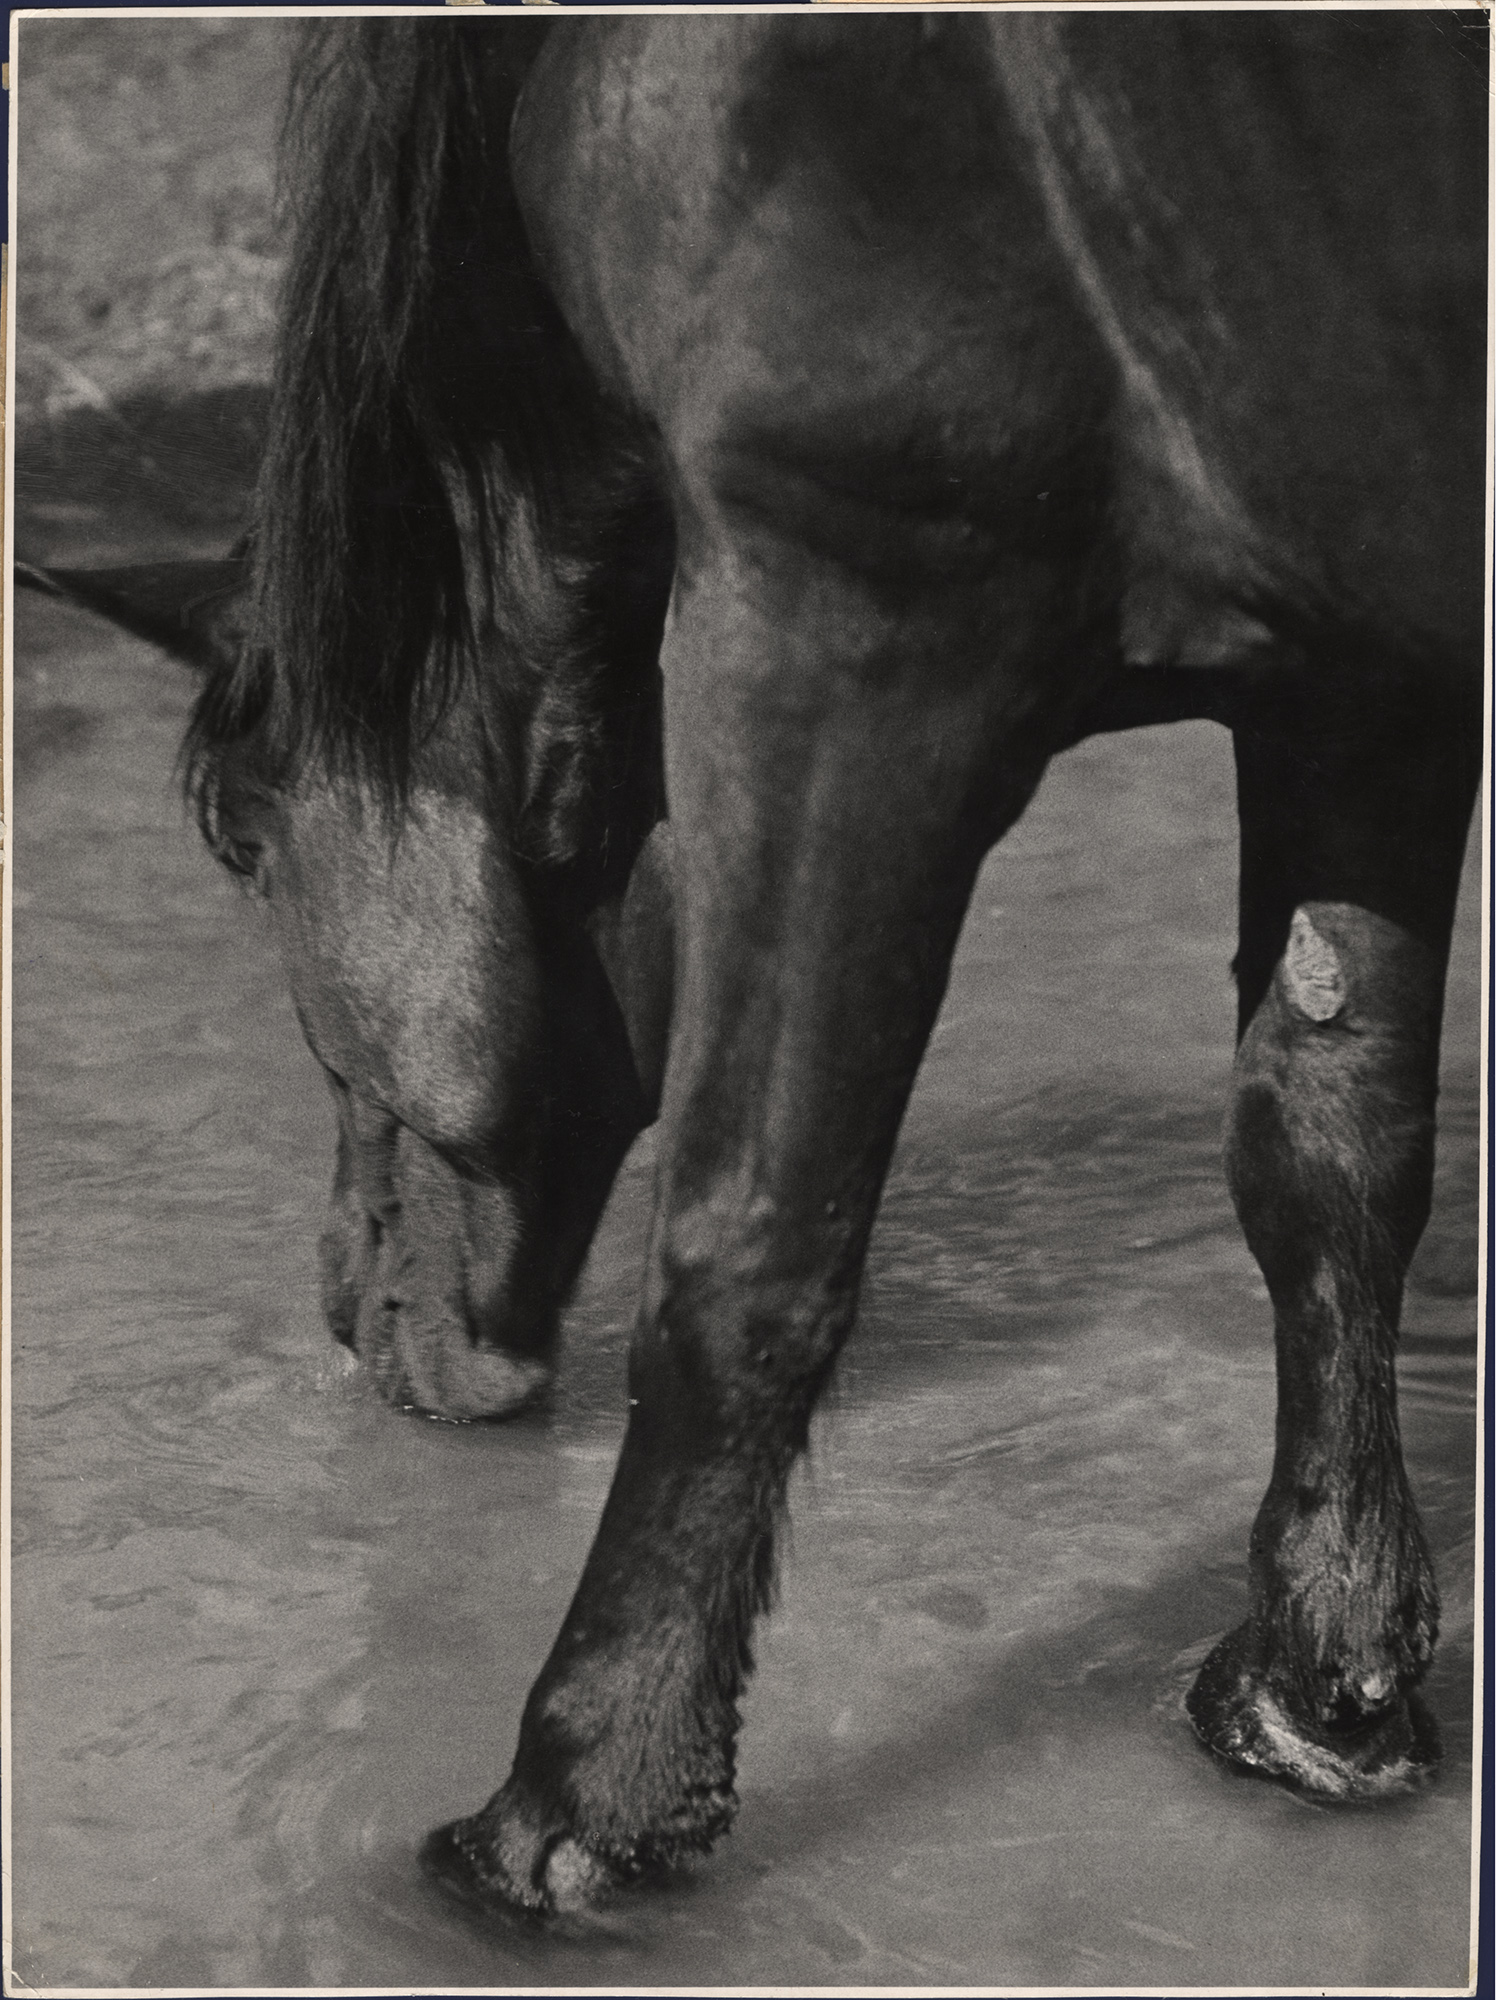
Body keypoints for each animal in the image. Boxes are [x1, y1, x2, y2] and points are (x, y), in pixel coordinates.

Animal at [114, 11, 1496, 1904]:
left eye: (249, 844)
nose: (348, 1308)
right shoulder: (1358, 682)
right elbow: (1330, 1158)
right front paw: (1321, 1688)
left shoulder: (845, 621)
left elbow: (749, 1246)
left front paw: (579, 1803)